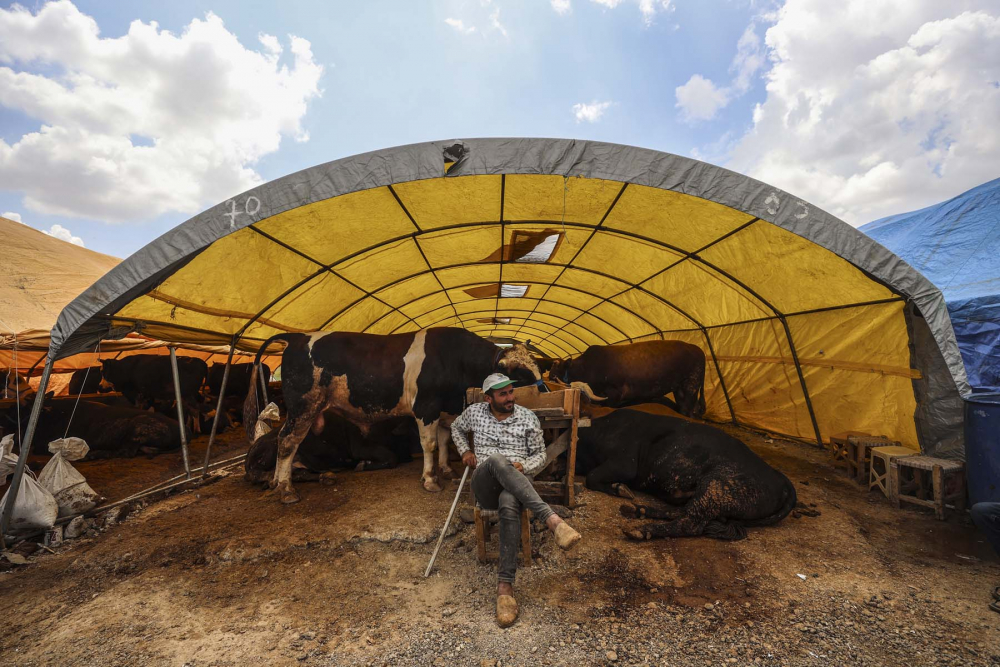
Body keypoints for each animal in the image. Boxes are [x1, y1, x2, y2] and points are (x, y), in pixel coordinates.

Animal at [552, 342, 708, 414]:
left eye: (557, 367)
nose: (550, 375)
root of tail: (698, 349)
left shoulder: (615, 392)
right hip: (680, 390)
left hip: (690, 388)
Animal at [580, 408, 796, 544]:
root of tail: (782, 479)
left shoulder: (625, 463)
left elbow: (591, 477)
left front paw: (620, 489)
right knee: (682, 512)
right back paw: (638, 510)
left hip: (715, 487)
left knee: (689, 524)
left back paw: (642, 529)